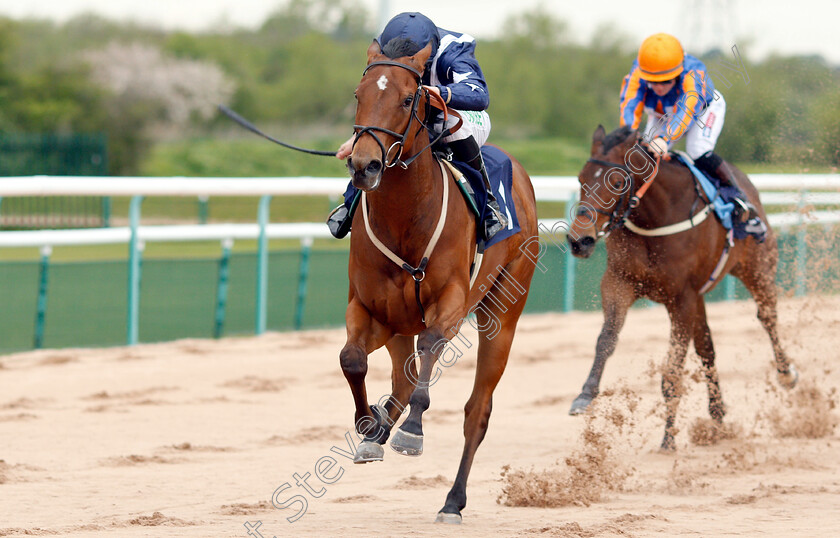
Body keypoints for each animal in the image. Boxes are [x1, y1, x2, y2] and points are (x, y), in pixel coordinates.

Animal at [340, 40, 540, 520]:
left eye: (407, 99)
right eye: (358, 94)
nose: (364, 165)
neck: (406, 219)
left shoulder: (449, 306)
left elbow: (431, 349)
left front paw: (411, 430)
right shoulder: (370, 309)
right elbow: (352, 359)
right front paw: (368, 425)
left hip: (502, 315)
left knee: (476, 411)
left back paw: (453, 500)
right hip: (399, 325)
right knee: (401, 378)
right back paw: (379, 430)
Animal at [568, 124, 796, 448]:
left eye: (617, 181)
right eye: (580, 179)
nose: (580, 240)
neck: (653, 218)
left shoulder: (682, 298)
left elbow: (673, 369)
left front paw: (668, 438)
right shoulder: (619, 282)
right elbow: (606, 339)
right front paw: (585, 395)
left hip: (757, 268)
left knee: (767, 317)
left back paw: (786, 374)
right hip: (701, 297)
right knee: (707, 347)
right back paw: (717, 416)